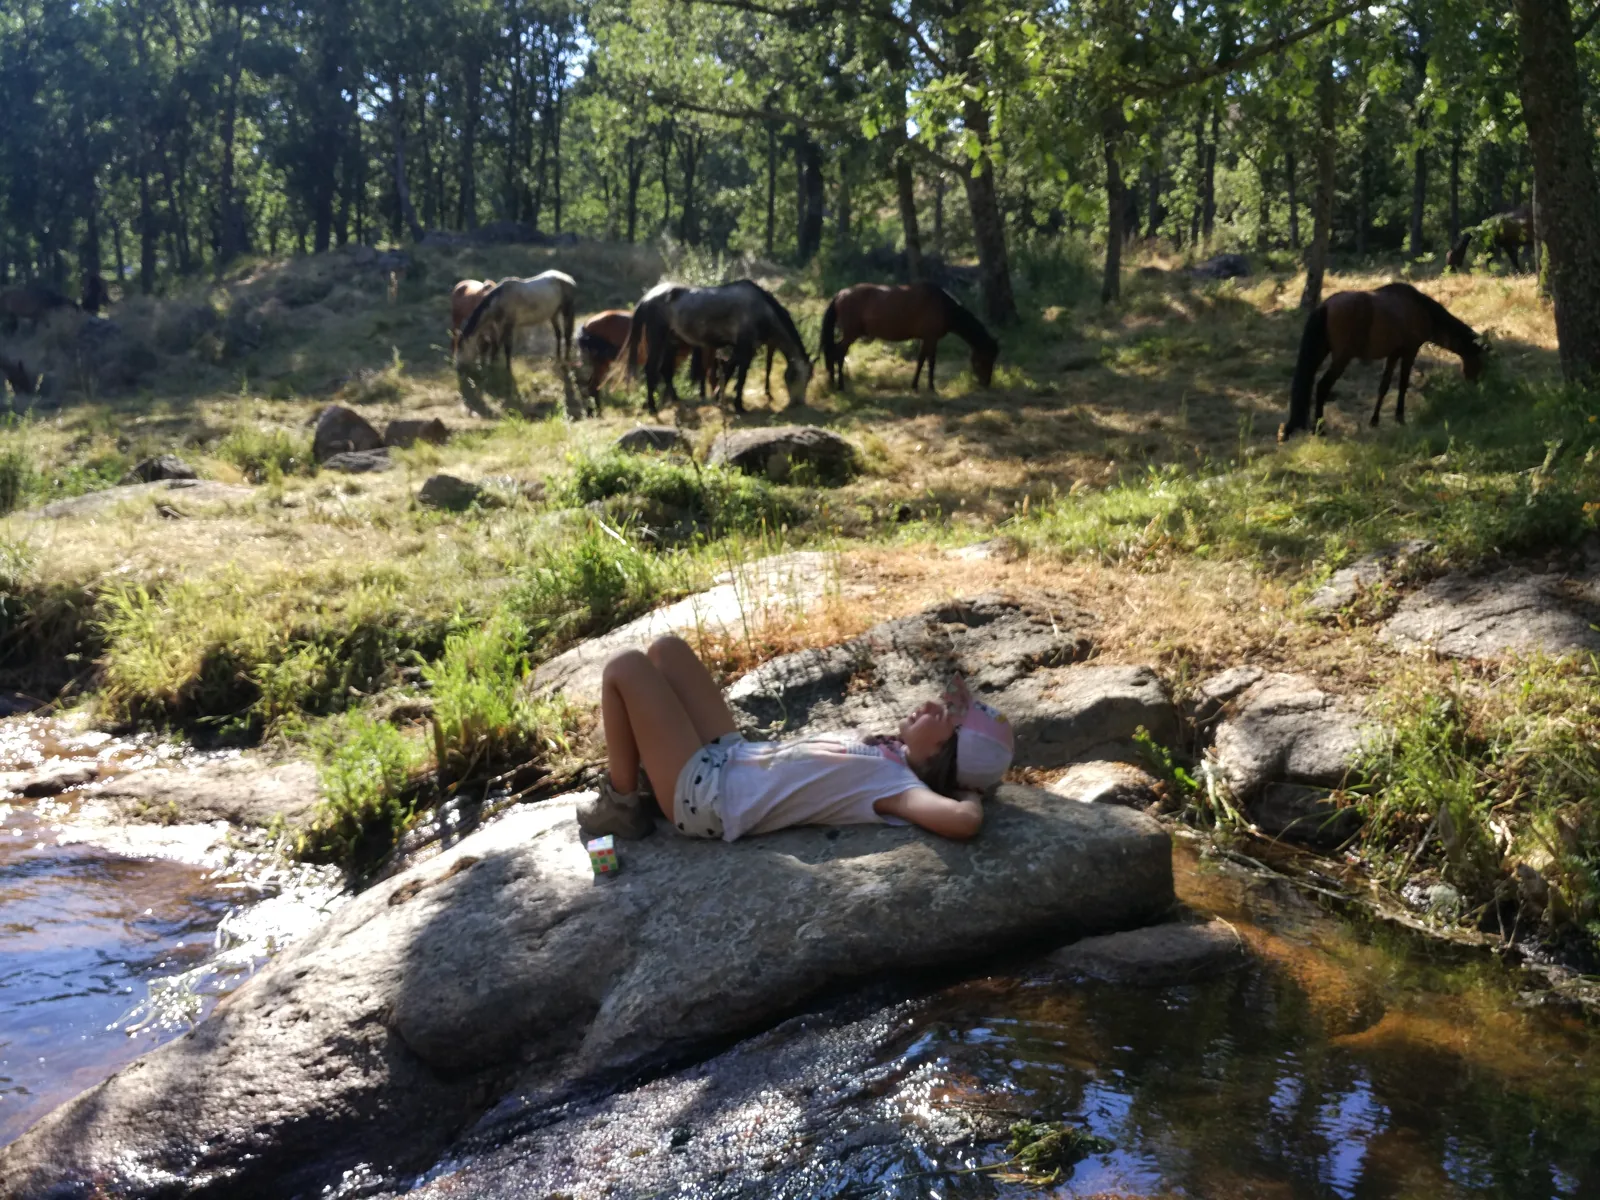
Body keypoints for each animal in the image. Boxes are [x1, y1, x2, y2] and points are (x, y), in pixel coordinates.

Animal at [625, 280, 812, 416]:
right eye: (799, 376)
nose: (799, 403)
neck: (761, 309)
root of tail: (647, 298)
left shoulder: (743, 348)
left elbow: (729, 370)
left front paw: (717, 396)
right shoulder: (745, 347)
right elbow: (741, 376)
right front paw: (738, 406)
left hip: (672, 342)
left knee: (666, 370)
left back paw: (677, 400)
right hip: (658, 340)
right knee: (651, 369)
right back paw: (652, 407)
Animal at [819, 282, 998, 392]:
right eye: (986, 359)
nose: (987, 383)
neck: (943, 306)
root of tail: (841, 294)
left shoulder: (925, 338)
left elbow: (921, 360)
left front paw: (915, 385)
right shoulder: (931, 338)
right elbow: (931, 362)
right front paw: (931, 387)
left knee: (833, 352)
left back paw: (833, 381)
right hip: (851, 334)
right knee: (838, 353)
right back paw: (840, 385)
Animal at [1281, 282, 1486, 439]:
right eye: (1479, 362)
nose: (1475, 386)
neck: (1420, 309)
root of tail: (1325, 306)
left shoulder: (1393, 354)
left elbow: (1384, 386)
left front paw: (1375, 420)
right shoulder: (1410, 351)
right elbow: (1402, 385)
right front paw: (1400, 418)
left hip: (1320, 352)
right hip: (1341, 358)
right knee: (1323, 386)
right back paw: (1320, 429)